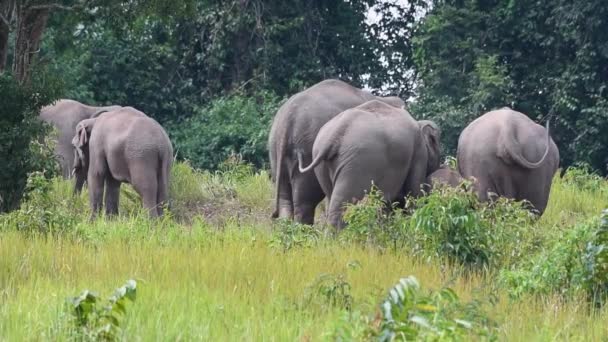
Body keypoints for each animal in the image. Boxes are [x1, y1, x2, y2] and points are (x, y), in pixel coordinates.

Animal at [296, 101, 440, 230]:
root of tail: (335, 134)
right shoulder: (419, 154)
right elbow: (413, 194)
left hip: (322, 166)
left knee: (332, 198)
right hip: (359, 163)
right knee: (344, 205)